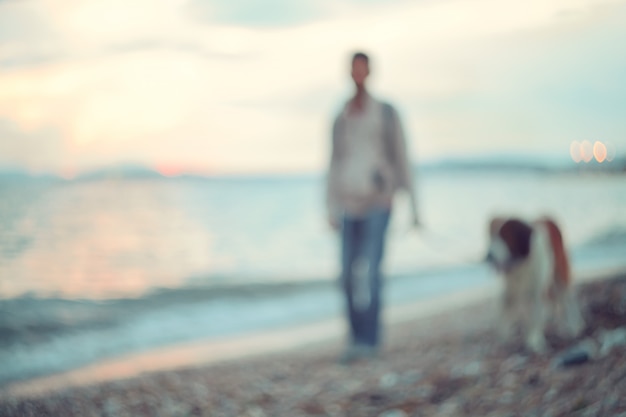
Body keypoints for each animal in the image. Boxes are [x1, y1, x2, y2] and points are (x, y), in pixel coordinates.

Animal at [486, 216, 584, 352]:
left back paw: (574, 326)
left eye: (504, 236)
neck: (520, 265)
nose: (488, 256)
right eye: (492, 238)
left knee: (567, 298)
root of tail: (548, 218)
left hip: (559, 274)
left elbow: (535, 316)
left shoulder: (537, 292)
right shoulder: (509, 292)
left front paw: (535, 342)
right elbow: (504, 314)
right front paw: (503, 339)